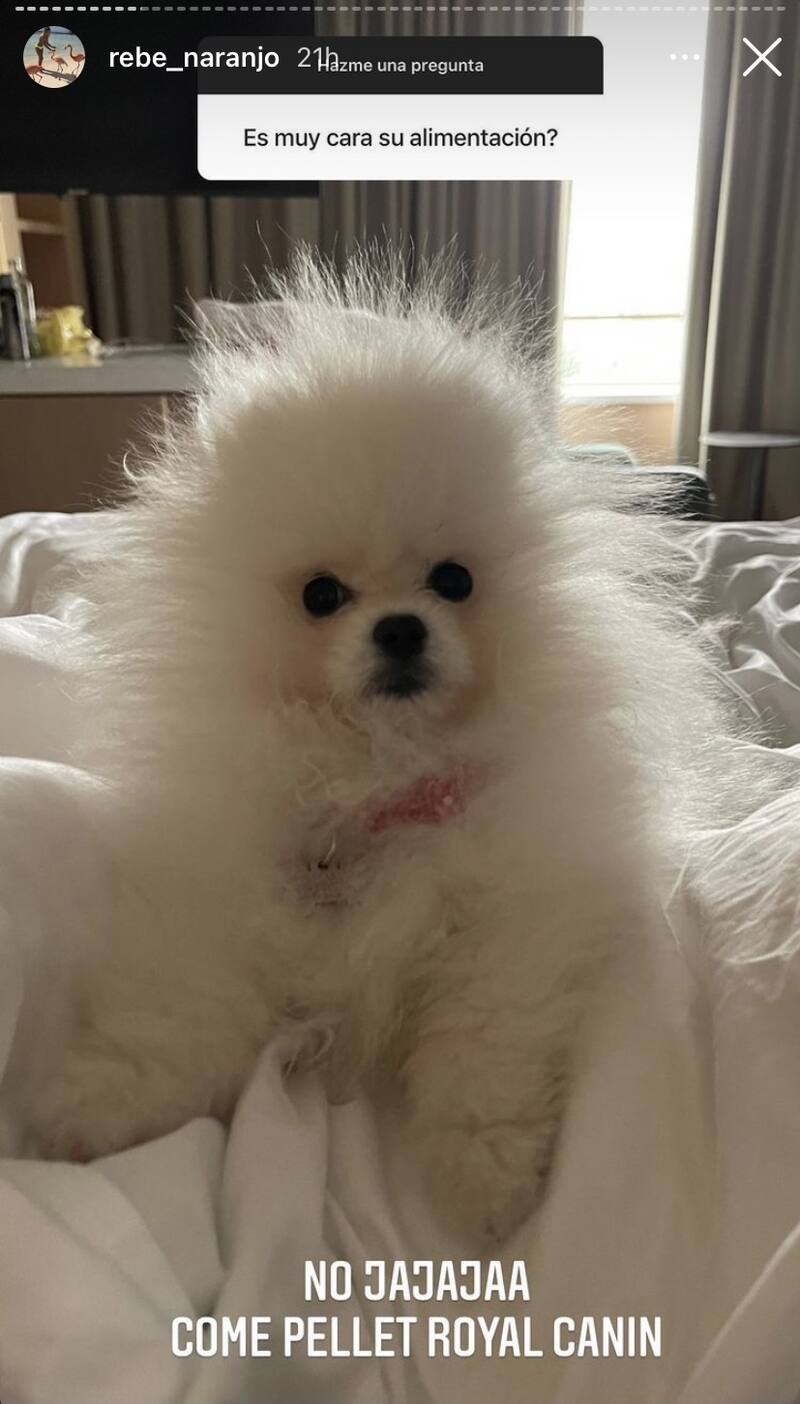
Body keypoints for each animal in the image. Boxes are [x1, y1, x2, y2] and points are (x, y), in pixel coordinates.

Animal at [17, 254, 758, 1243]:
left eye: (454, 581)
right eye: (322, 595)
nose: (402, 628)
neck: (381, 775)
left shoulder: (512, 922)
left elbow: (482, 1045)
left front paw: (484, 1176)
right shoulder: (226, 899)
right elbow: (178, 1007)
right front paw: (96, 1109)